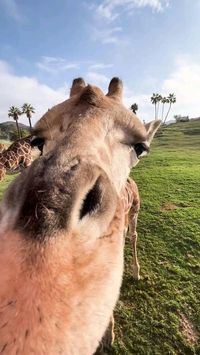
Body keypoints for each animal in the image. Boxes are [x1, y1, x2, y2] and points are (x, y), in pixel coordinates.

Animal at [0, 78, 160, 355]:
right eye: (38, 142)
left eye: (141, 147)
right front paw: (107, 333)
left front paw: (110, 335)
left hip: (135, 213)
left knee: (134, 236)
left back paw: (137, 272)